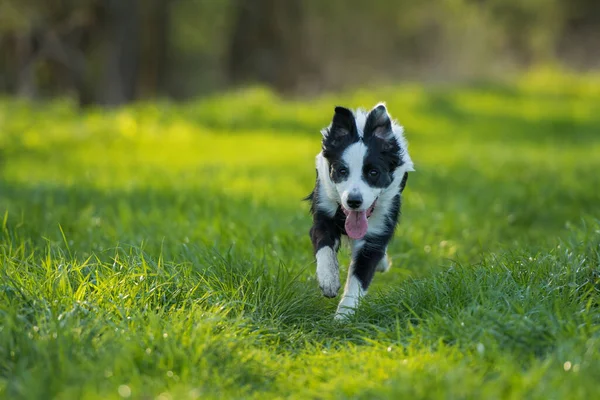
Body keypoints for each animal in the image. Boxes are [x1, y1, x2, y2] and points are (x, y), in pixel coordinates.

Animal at [308, 103, 414, 318]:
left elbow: (359, 278)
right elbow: (324, 246)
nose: (354, 201)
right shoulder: (323, 210)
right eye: (342, 171)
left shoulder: (377, 231)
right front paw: (328, 280)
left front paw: (343, 317)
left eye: (373, 172)